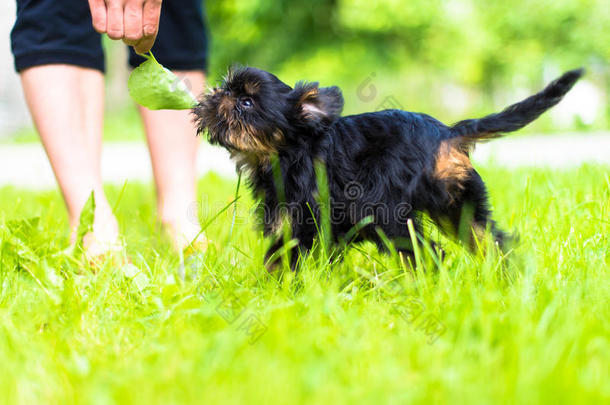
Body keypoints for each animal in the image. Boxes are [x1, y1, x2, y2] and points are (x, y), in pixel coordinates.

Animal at [192, 67, 580, 268]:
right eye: (226, 88)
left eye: (245, 102)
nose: (217, 95)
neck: (292, 149)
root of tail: (448, 132)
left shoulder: (297, 223)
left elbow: (282, 261)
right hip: (459, 206)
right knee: (492, 240)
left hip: (388, 215)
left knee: (427, 251)